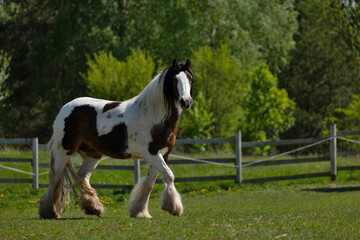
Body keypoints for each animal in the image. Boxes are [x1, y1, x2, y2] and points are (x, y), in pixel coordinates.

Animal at [39, 59, 194, 218]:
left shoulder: (163, 154)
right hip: (63, 151)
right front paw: (173, 208)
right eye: (174, 79)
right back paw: (50, 212)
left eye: (190, 78)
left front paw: (140, 211)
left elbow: (150, 183)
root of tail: (65, 108)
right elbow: (169, 175)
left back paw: (93, 208)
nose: (186, 102)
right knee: (54, 178)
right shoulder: (151, 153)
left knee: (82, 178)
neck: (154, 117)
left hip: (92, 155)